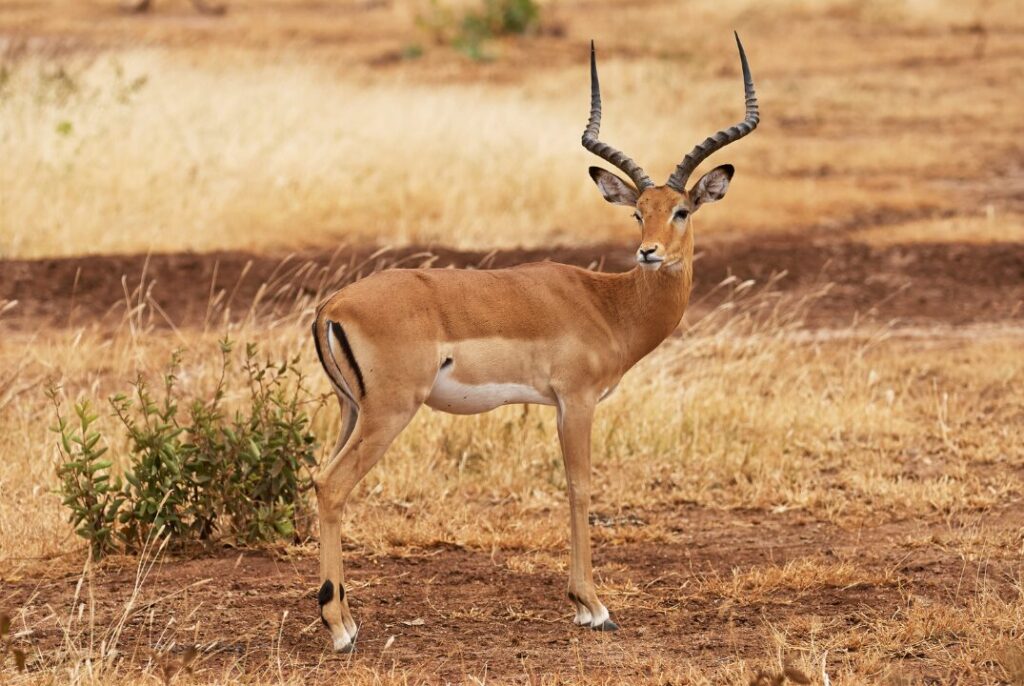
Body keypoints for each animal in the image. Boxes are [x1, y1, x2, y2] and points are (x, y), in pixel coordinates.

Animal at [311, 33, 759, 651]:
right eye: (638, 213)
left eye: (682, 210)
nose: (648, 252)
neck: (607, 302)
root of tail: (332, 306)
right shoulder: (577, 401)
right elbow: (579, 487)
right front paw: (593, 606)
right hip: (390, 411)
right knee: (331, 486)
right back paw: (340, 629)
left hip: (351, 409)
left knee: (317, 479)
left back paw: (343, 617)